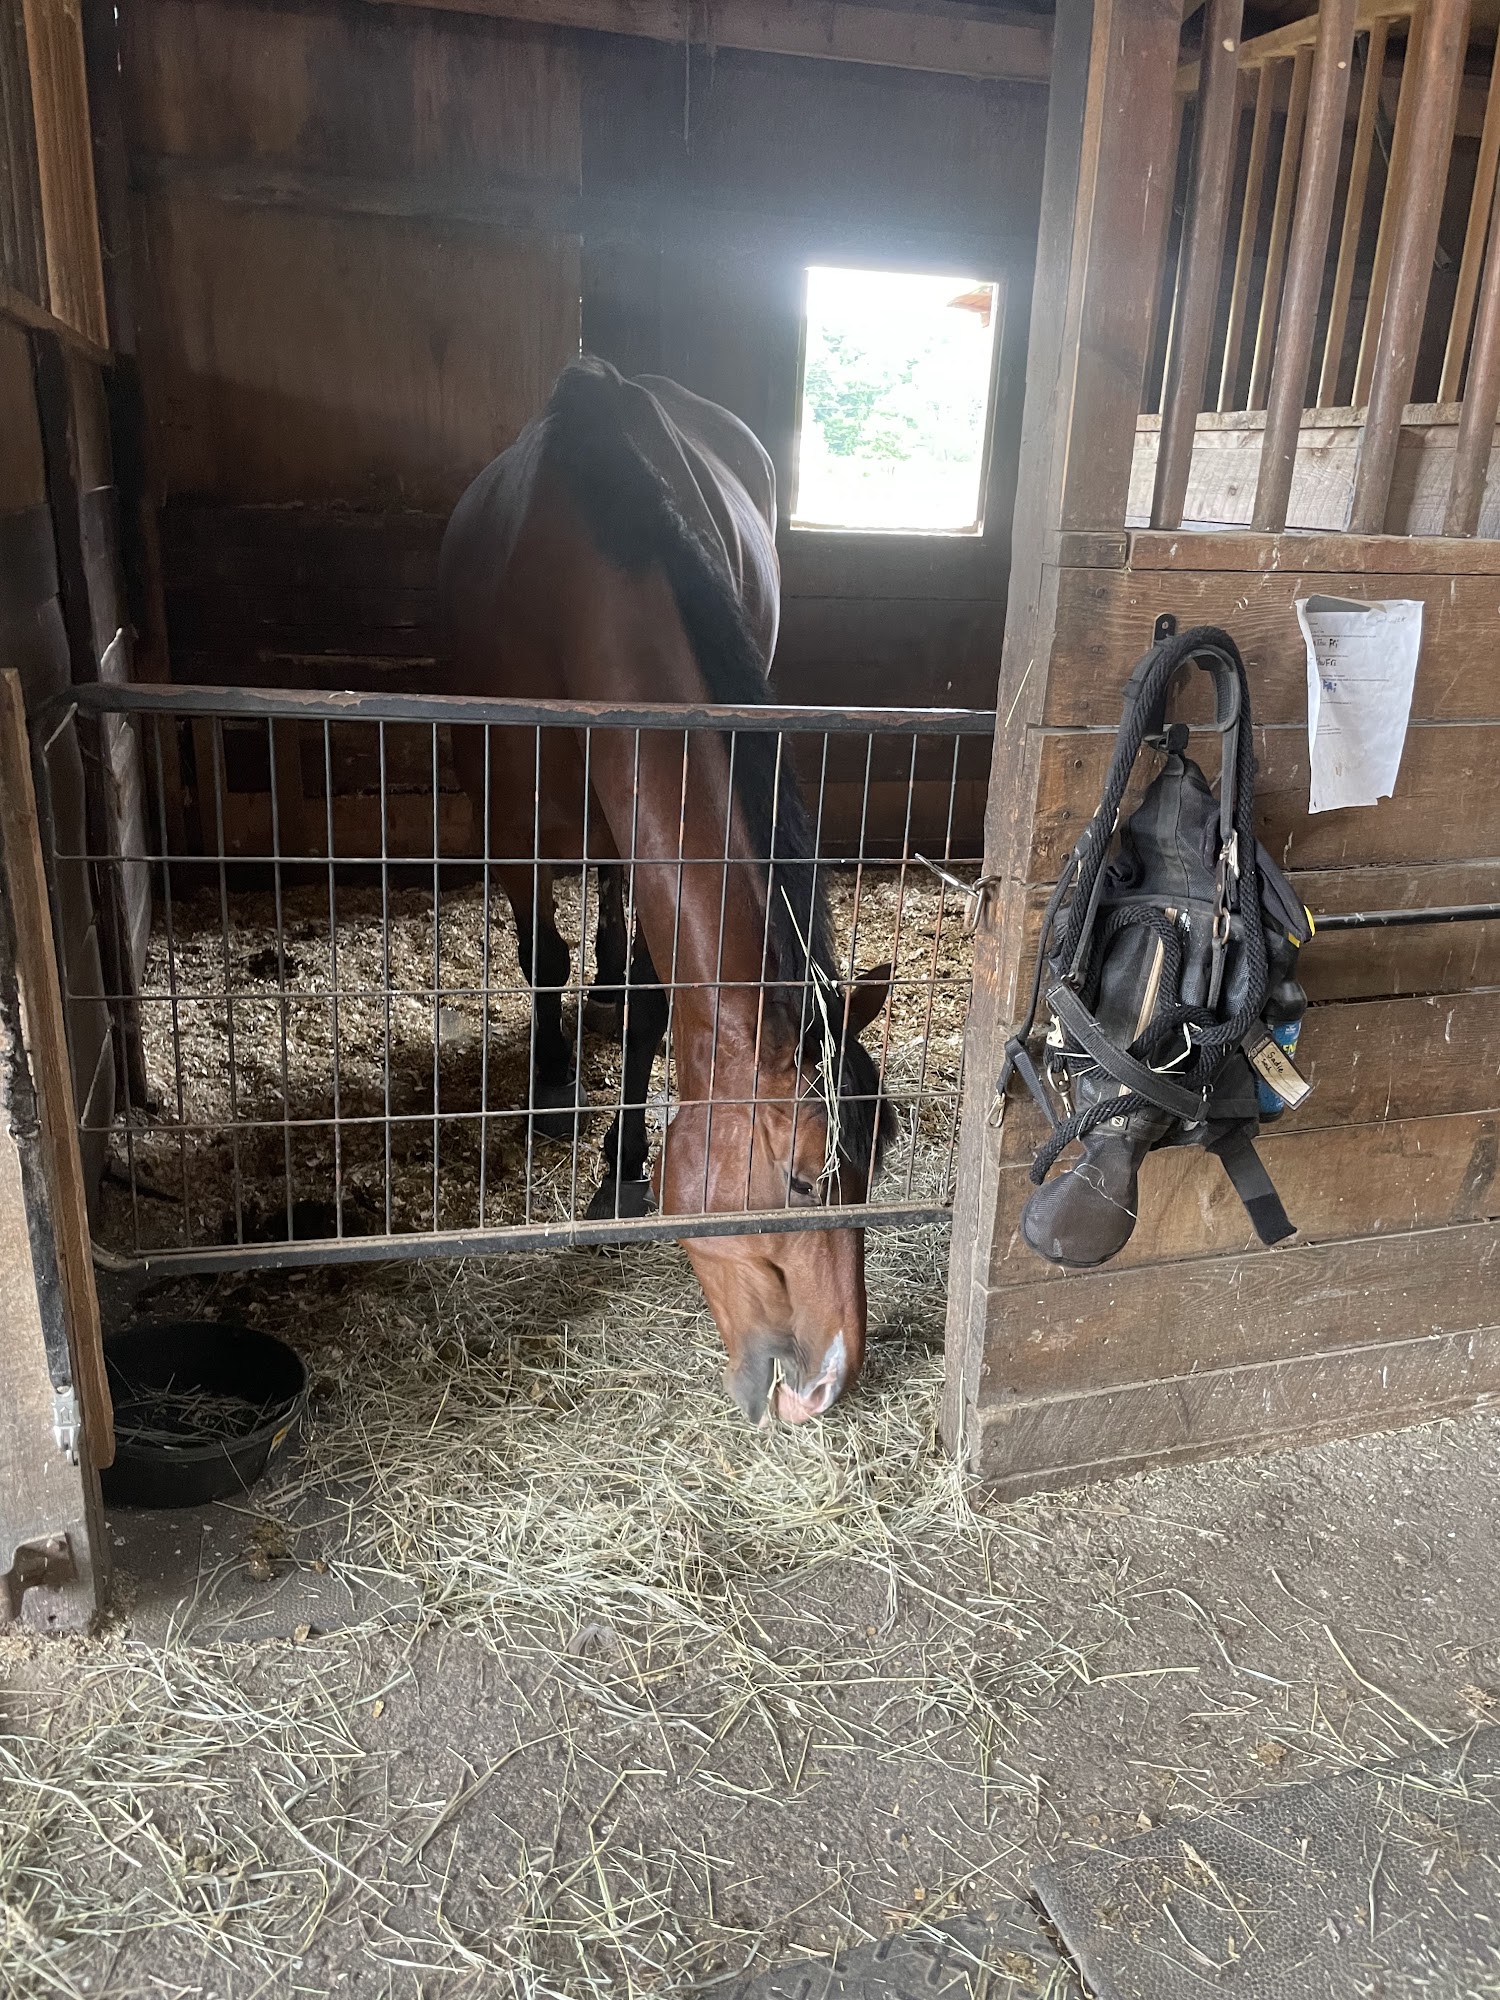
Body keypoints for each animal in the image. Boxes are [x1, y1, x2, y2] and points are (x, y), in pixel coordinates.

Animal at [439, 358, 894, 1424]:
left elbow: (653, 997)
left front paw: (623, 1166)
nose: (831, 1381)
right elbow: (540, 955)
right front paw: (557, 1094)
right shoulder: (514, 829)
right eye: (804, 1183)